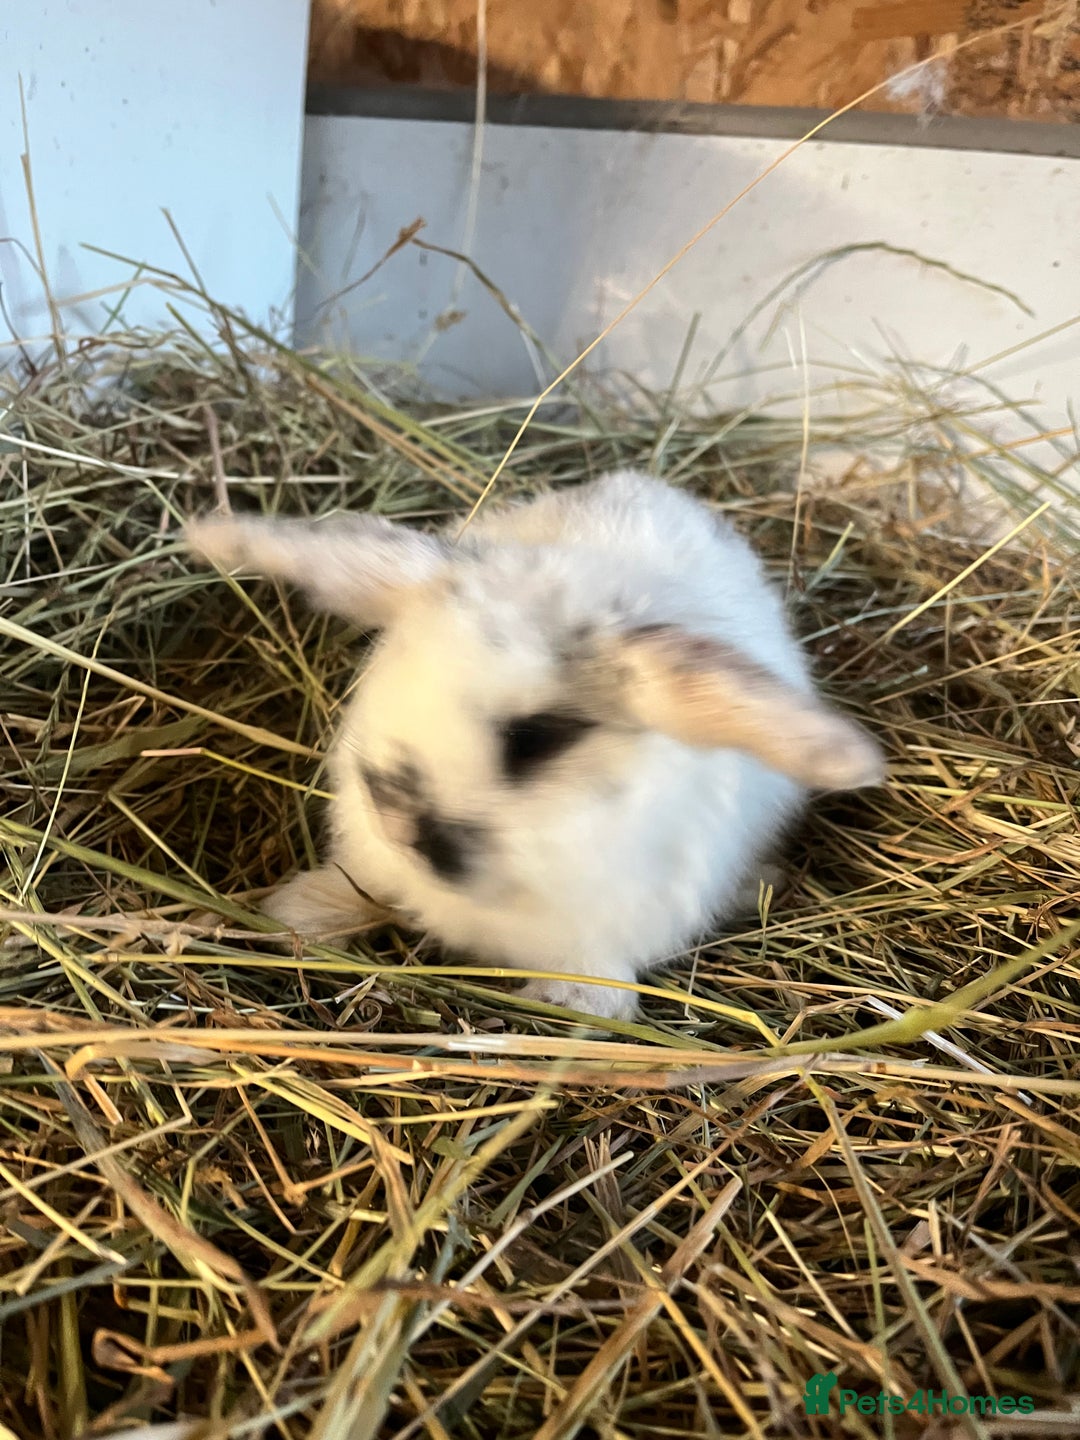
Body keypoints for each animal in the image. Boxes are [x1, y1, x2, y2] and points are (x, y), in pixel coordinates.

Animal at [185, 470, 883, 1023]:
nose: (397, 818)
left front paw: (571, 1003)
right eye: (398, 661)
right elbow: (363, 890)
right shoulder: (378, 864)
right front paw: (294, 913)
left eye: (536, 738)